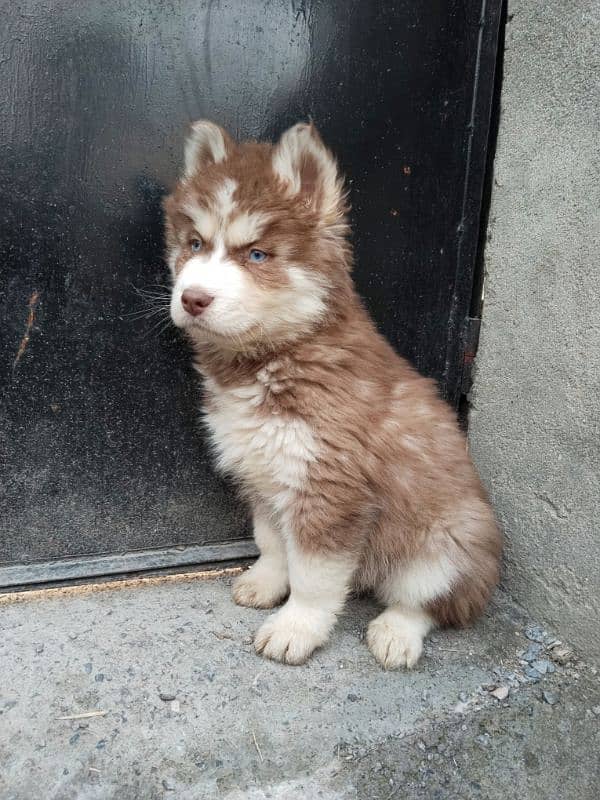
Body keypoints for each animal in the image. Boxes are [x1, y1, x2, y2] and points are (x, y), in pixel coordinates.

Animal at [164, 120, 502, 668]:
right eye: (194, 244)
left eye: (256, 255)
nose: (192, 298)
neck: (276, 357)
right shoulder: (263, 475)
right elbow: (272, 543)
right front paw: (265, 582)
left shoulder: (328, 490)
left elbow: (314, 577)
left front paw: (296, 627)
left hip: (450, 541)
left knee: (430, 602)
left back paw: (396, 633)